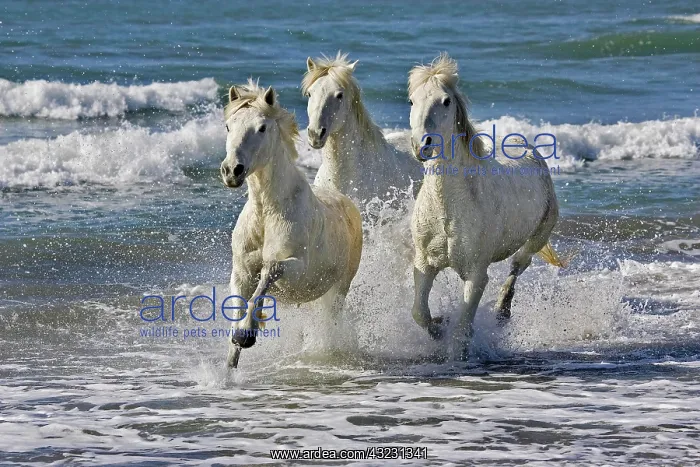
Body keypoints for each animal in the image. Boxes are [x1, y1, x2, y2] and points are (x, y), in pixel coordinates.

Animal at [219, 80, 363, 368]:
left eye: (261, 128)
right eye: (229, 125)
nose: (232, 171)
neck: (266, 215)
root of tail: (347, 201)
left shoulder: (297, 270)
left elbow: (270, 270)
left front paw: (247, 333)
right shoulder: (241, 272)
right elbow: (238, 304)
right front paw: (233, 354)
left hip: (337, 289)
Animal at [407, 53, 563, 359]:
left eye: (445, 101)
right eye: (411, 101)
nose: (422, 145)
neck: (448, 208)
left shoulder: (476, 274)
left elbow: (463, 329)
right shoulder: (424, 262)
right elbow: (419, 313)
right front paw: (439, 327)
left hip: (537, 237)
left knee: (518, 266)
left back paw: (503, 311)